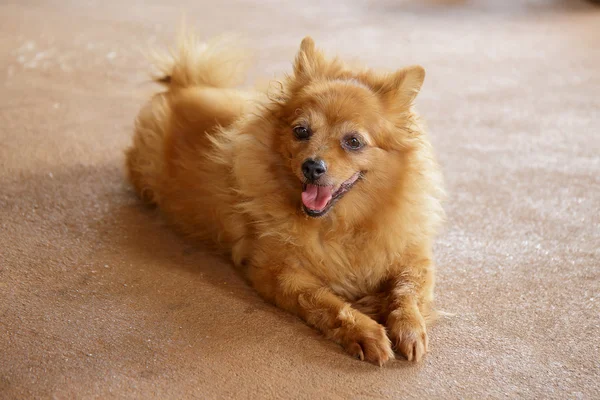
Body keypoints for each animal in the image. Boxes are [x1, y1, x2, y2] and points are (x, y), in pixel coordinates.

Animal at [125, 32, 446, 364]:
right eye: (301, 131)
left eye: (353, 142)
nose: (312, 166)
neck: (343, 224)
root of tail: (183, 84)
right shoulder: (278, 274)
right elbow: (325, 301)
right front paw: (365, 332)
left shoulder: (413, 257)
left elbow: (407, 290)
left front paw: (409, 328)